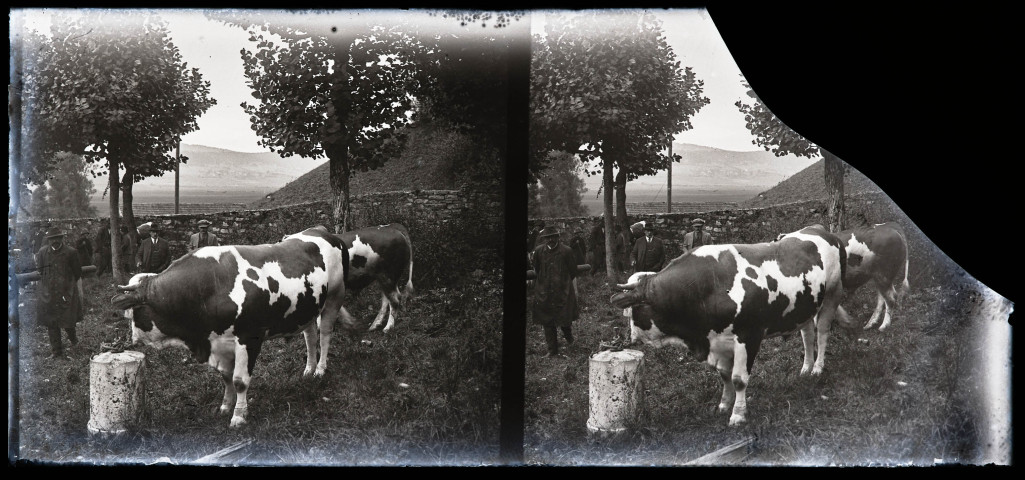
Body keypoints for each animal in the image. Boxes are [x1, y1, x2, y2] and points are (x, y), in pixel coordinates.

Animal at [112, 226, 356, 428]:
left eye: (132, 314)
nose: (131, 339)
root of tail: (324, 231)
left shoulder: (250, 339)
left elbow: (239, 381)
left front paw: (239, 415)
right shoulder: (220, 343)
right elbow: (226, 377)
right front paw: (225, 406)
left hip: (334, 297)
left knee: (325, 334)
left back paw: (321, 369)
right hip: (307, 307)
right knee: (310, 337)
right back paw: (308, 369)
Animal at [610, 224, 852, 426]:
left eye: (632, 312)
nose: (630, 337)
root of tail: (821, 230)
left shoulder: (749, 336)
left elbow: (738, 379)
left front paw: (738, 414)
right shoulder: (719, 341)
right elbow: (724, 375)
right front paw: (724, 404)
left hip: (833, 293)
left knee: (822, 332)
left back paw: (818, 368)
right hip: (804, 306)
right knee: (807, 335)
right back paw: (806, 368)